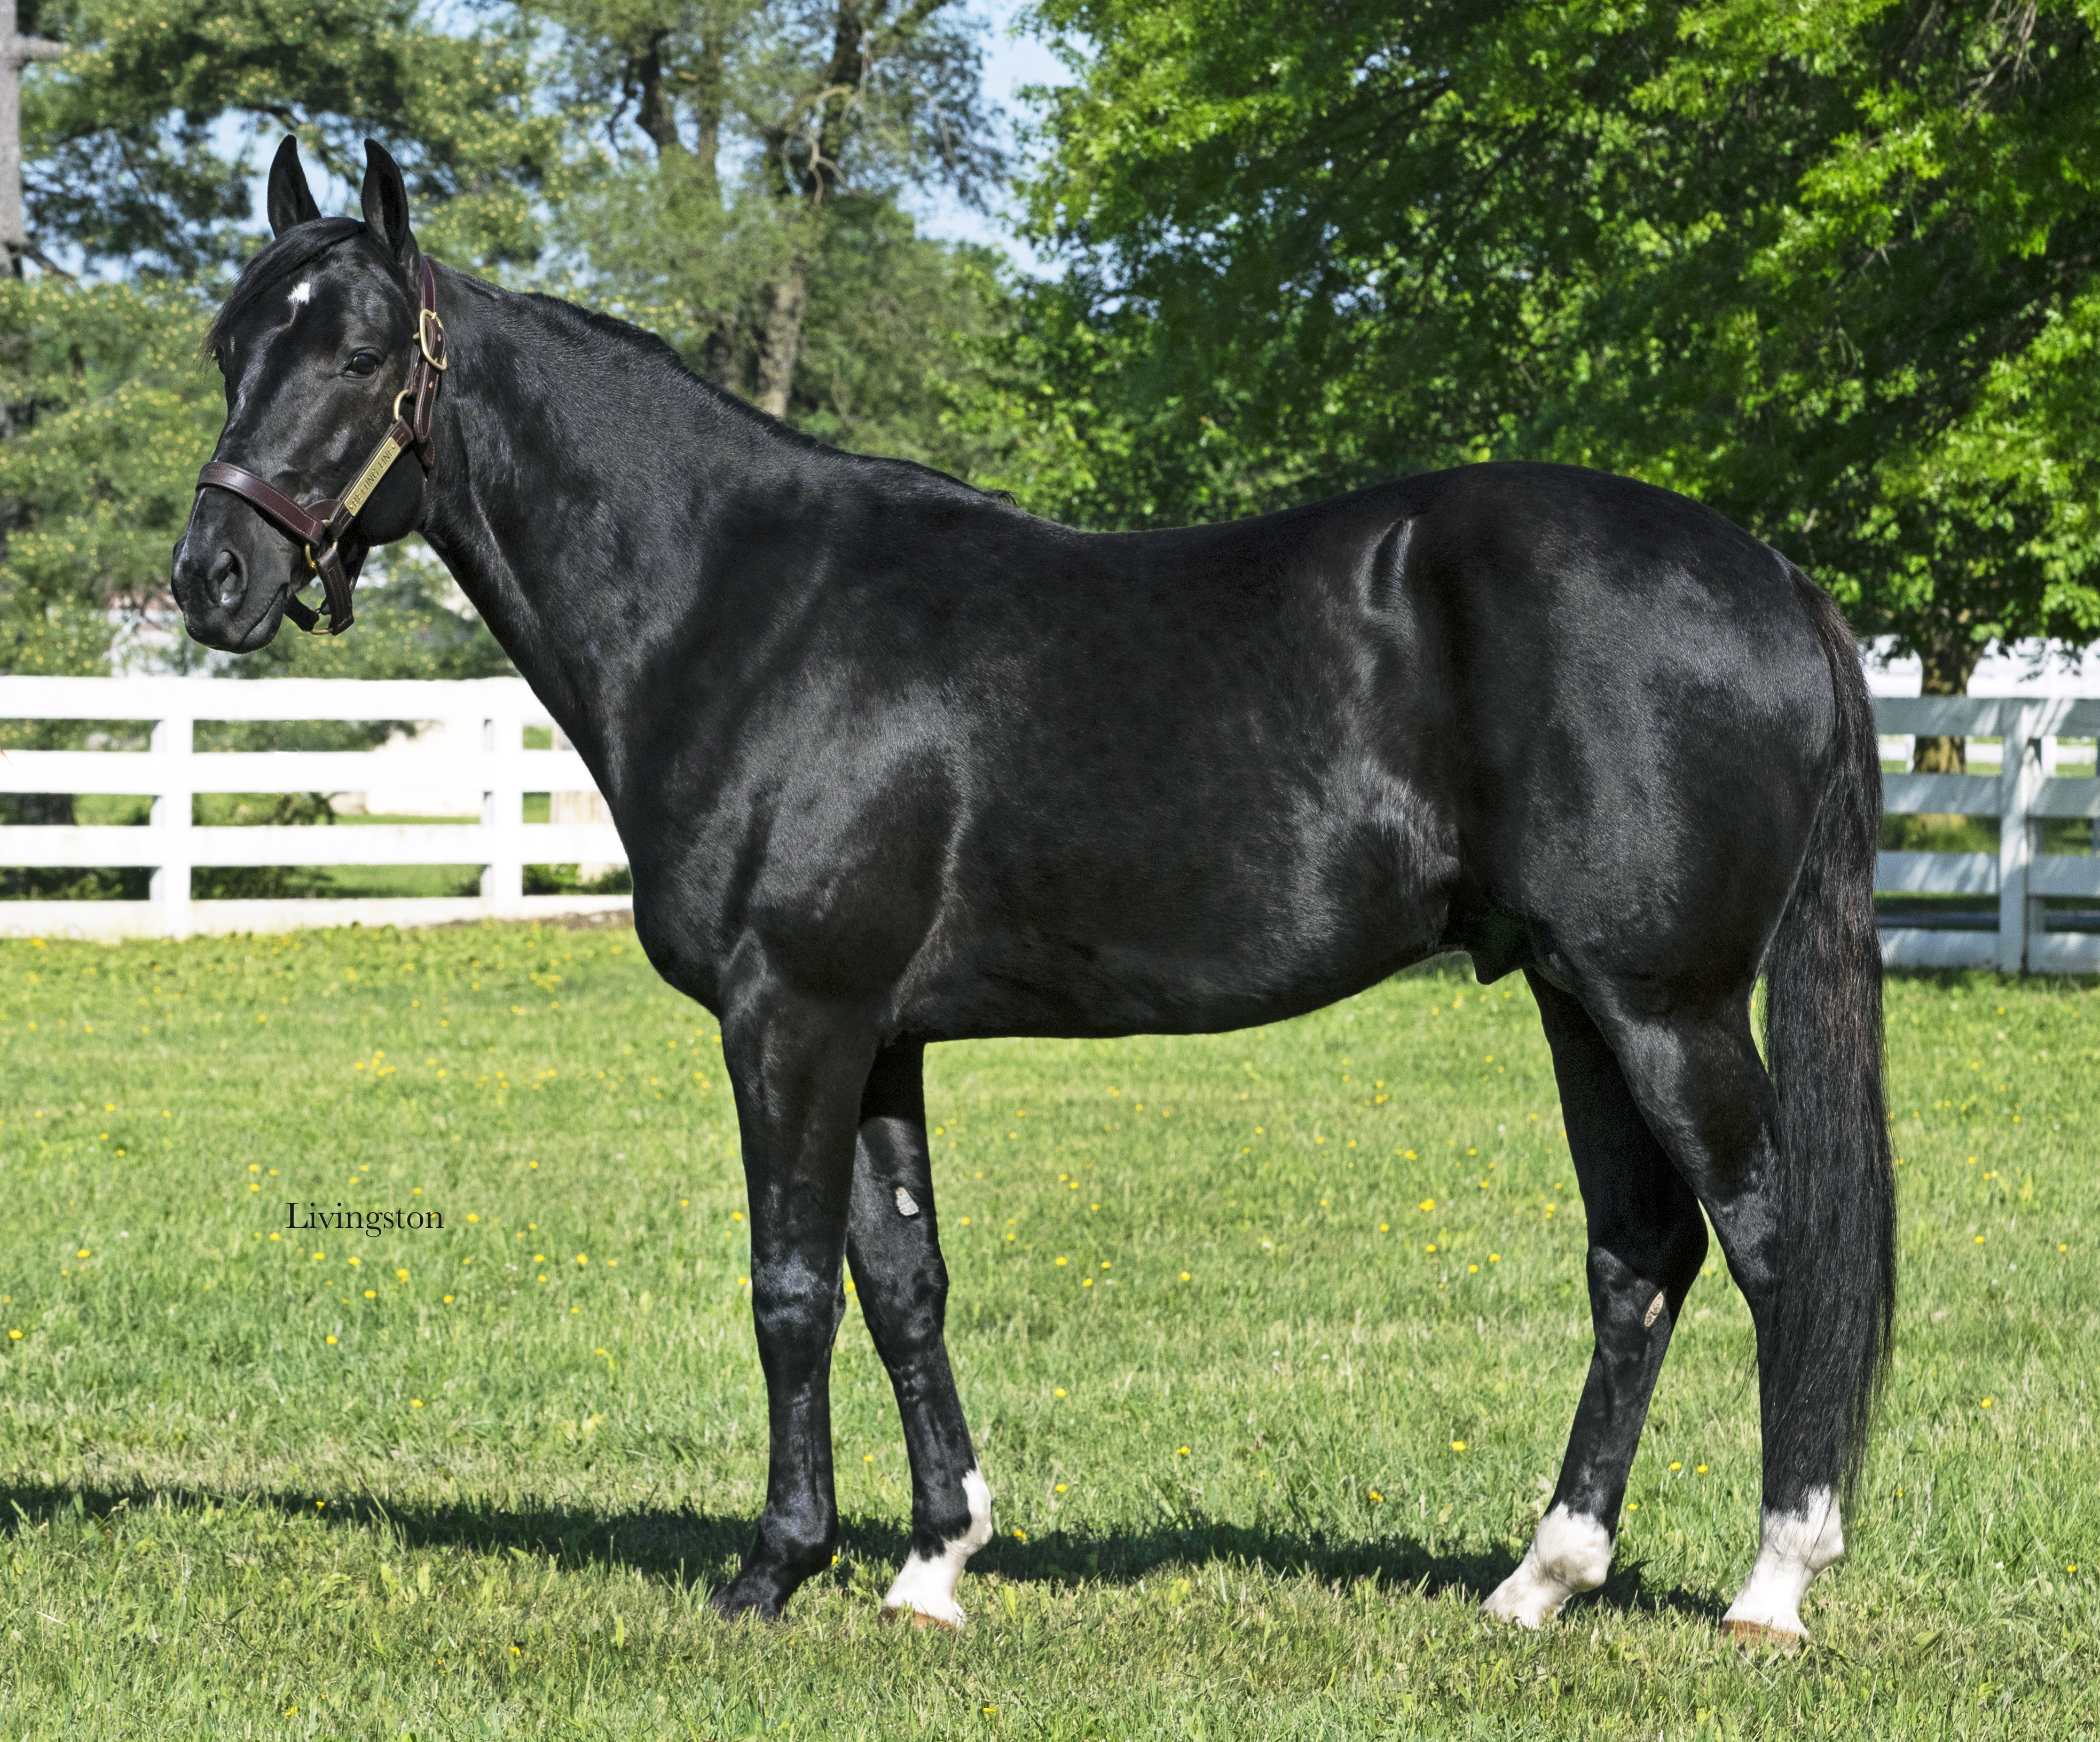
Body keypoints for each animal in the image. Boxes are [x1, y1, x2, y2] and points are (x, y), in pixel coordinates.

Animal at [171, 137, 1895, 1644]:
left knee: (1772, 1248)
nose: (211, 578)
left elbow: (789, 1285)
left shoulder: (789, 1016)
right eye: (229, 344)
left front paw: (774, 1567)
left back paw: (1774, 1583)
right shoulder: (877, 1035)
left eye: (357, 355)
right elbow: (902, 1281)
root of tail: (1771, 575)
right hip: (1572, 995)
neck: (745, 608)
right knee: (1639, 1259)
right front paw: (933, 1560)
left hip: (1663, 1005)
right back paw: (1542, 1578)